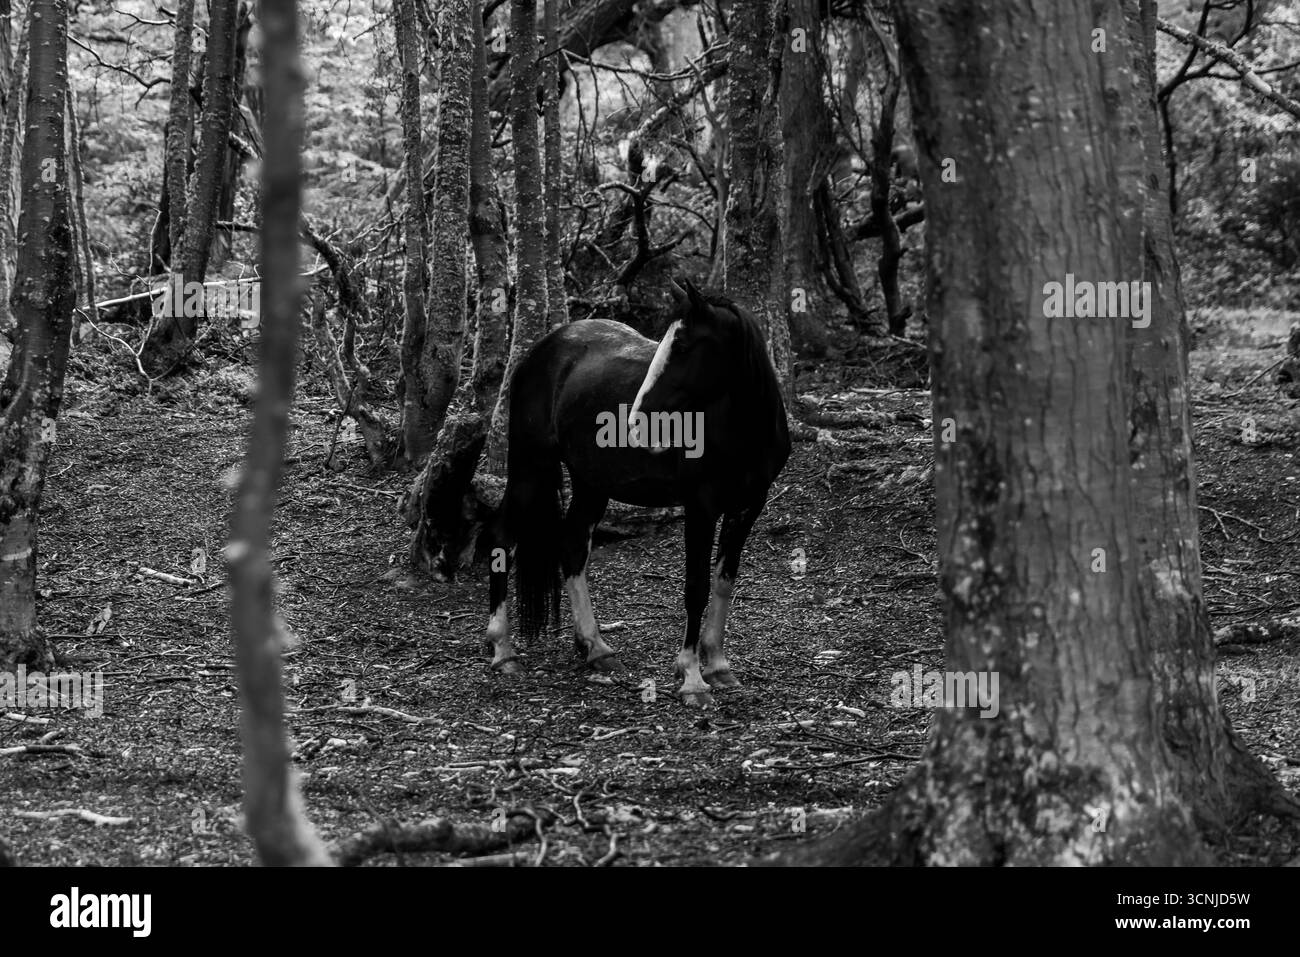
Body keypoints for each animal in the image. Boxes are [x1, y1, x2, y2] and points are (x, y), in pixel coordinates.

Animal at [484, 278, 790, 705]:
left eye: (683, 347)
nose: (636, 419)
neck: (741, 431)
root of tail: (541, 350)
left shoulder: (747, 507)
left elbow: (724, 584)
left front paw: (717, 666)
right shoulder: (700, 507)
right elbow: (696, 588)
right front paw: (691, 678)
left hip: (591, 482)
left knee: (572, 545)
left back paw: (596, 648)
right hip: (530, 467)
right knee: (501, 536)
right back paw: (503, 650)